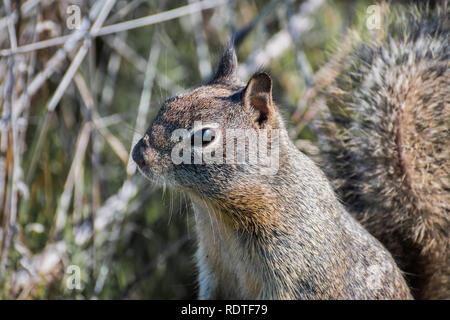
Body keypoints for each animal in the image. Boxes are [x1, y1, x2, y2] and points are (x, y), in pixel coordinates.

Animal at [132, 41, 414, 298]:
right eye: (168, 103)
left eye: (206, 136)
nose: (138, 155)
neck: (220, 211)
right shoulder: (213, 269)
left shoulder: (295, 271)